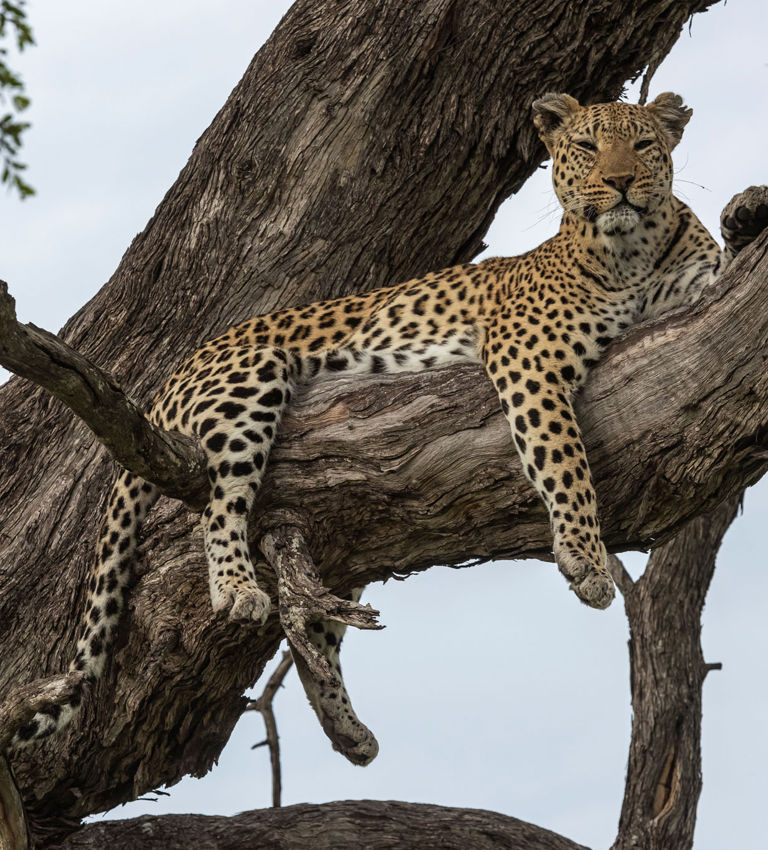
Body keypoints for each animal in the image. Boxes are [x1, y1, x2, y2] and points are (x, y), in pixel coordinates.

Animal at [11, 92, 768, 764]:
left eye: (642, 144)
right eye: (587, 145)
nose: (620, 183)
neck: (633, 253)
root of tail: (172, 373)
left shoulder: (690, 295)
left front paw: (746, 212)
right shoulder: (528, 356)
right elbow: (563, 457)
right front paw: (585, 558)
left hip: (349, 517)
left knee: (316, 622)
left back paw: (347, 729)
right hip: (248, 385)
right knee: (220, 506)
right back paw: (236, 588)